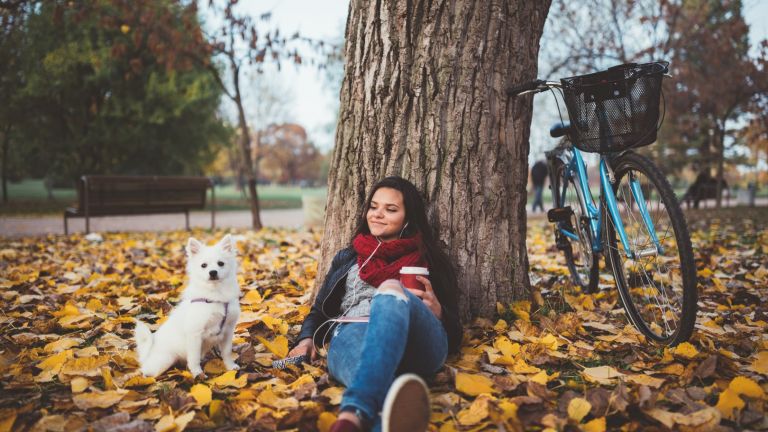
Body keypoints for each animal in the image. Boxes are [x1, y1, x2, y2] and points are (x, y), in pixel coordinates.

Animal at [133, 235, 240, 376]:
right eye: (203, 265)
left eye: (221, 263)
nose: (213, 272)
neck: (215, 296)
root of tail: (148, 353)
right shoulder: (195, 334)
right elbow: (194, 358)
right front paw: (198, 374)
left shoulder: (228, 331)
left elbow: (227, 352)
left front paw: (230, 367)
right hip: (165, 360)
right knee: (146, 371)